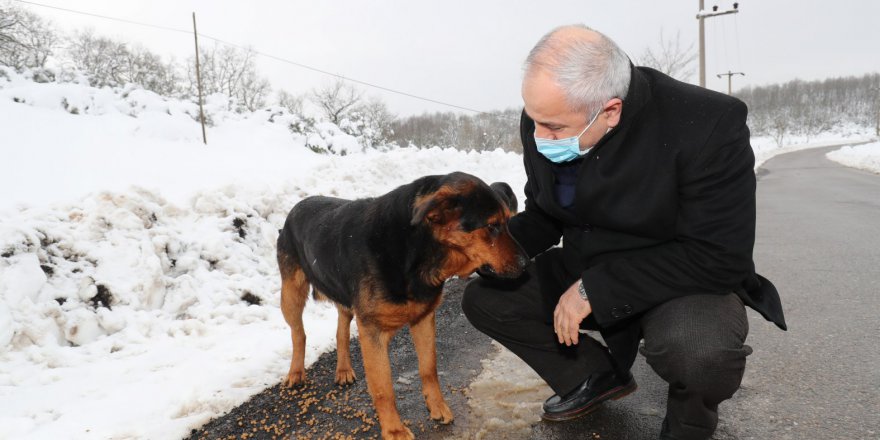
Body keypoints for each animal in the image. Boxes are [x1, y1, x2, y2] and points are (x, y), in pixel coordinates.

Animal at [276, 173, 524, 440]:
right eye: (492, 226)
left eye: (507, 222)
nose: (526, 264)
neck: (415, 249)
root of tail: (297, 207)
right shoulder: (372, 332)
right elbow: (384, 388)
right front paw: (394, 430)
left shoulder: (423, 319)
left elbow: (429, 367)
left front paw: (436, 406)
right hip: (291, 293)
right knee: (298, 333)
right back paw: (296, 372)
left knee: (341, 326)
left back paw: (343, 369)